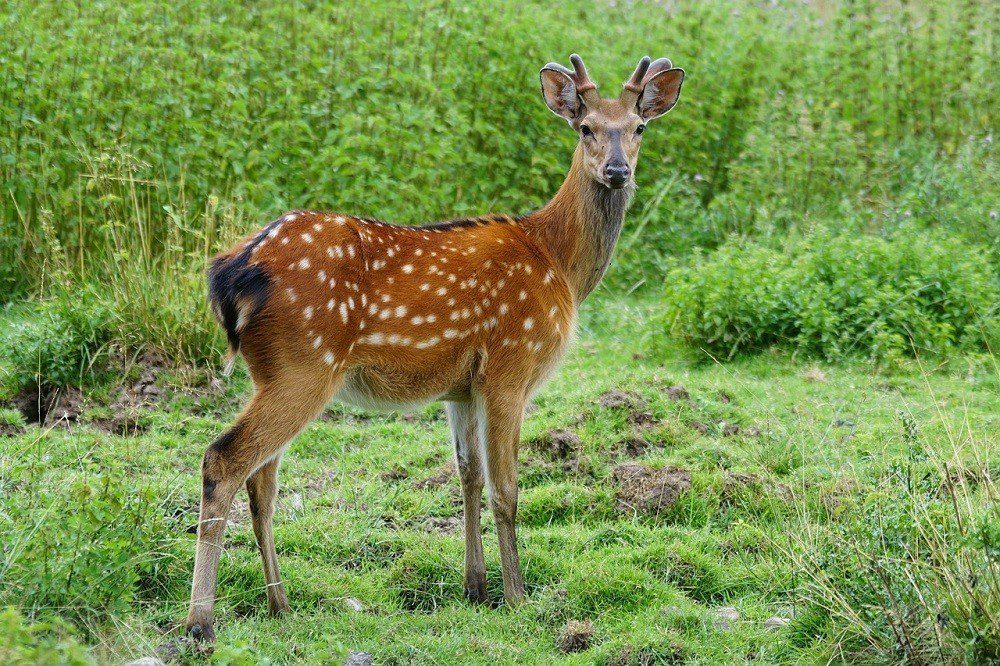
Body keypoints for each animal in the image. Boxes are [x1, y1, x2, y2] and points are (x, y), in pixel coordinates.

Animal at [184, 54, 684, 643]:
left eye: (639, 127)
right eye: (585, 127)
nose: (617, 171)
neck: (558, 262)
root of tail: (229, 272)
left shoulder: (461, 388)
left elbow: (468, 476)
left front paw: (476, 588)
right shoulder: (511, 364)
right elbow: (507, 489)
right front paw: (517, 597)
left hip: (273, 371)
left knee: (262, 478)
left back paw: (280, 604)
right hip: (304, 363)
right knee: (224, 460)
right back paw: (201, 622)